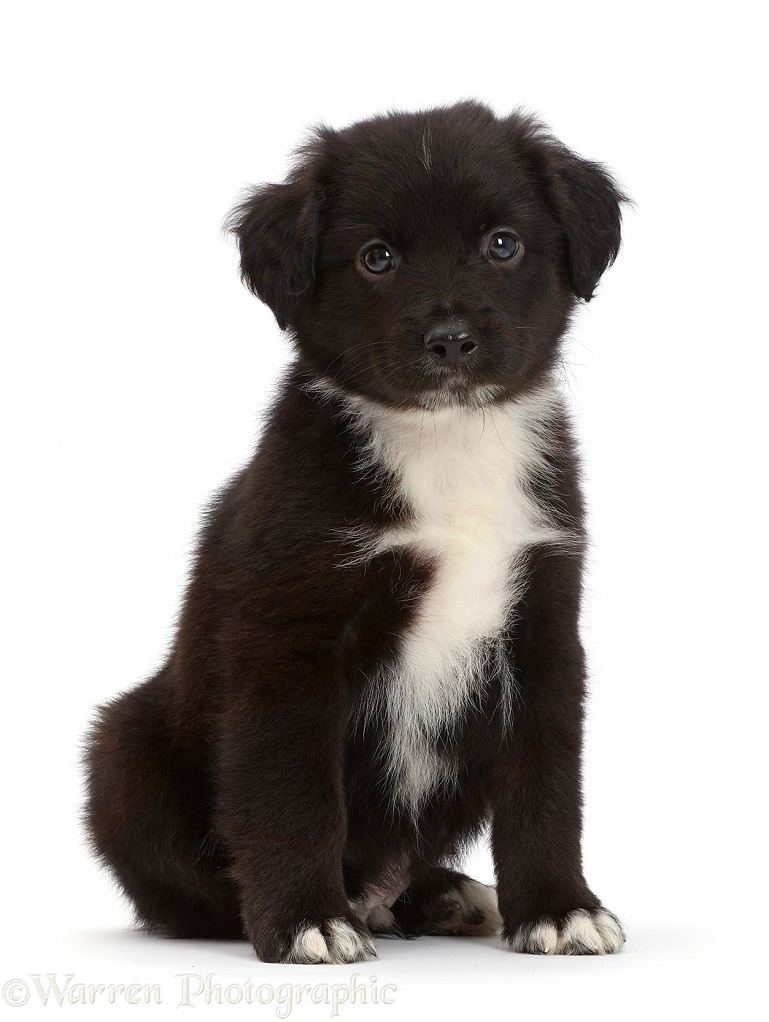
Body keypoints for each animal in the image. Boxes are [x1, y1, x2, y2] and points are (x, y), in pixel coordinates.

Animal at [83, 99, 625, 960]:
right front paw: (303, 919)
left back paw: (442, 895)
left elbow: (545, 790)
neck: (444, 447)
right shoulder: (291, 639)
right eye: (376, 258)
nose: (450, 341)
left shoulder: (541, 626)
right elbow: (294, 794)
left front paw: (557, 907)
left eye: (501, 244)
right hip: (122, 750)